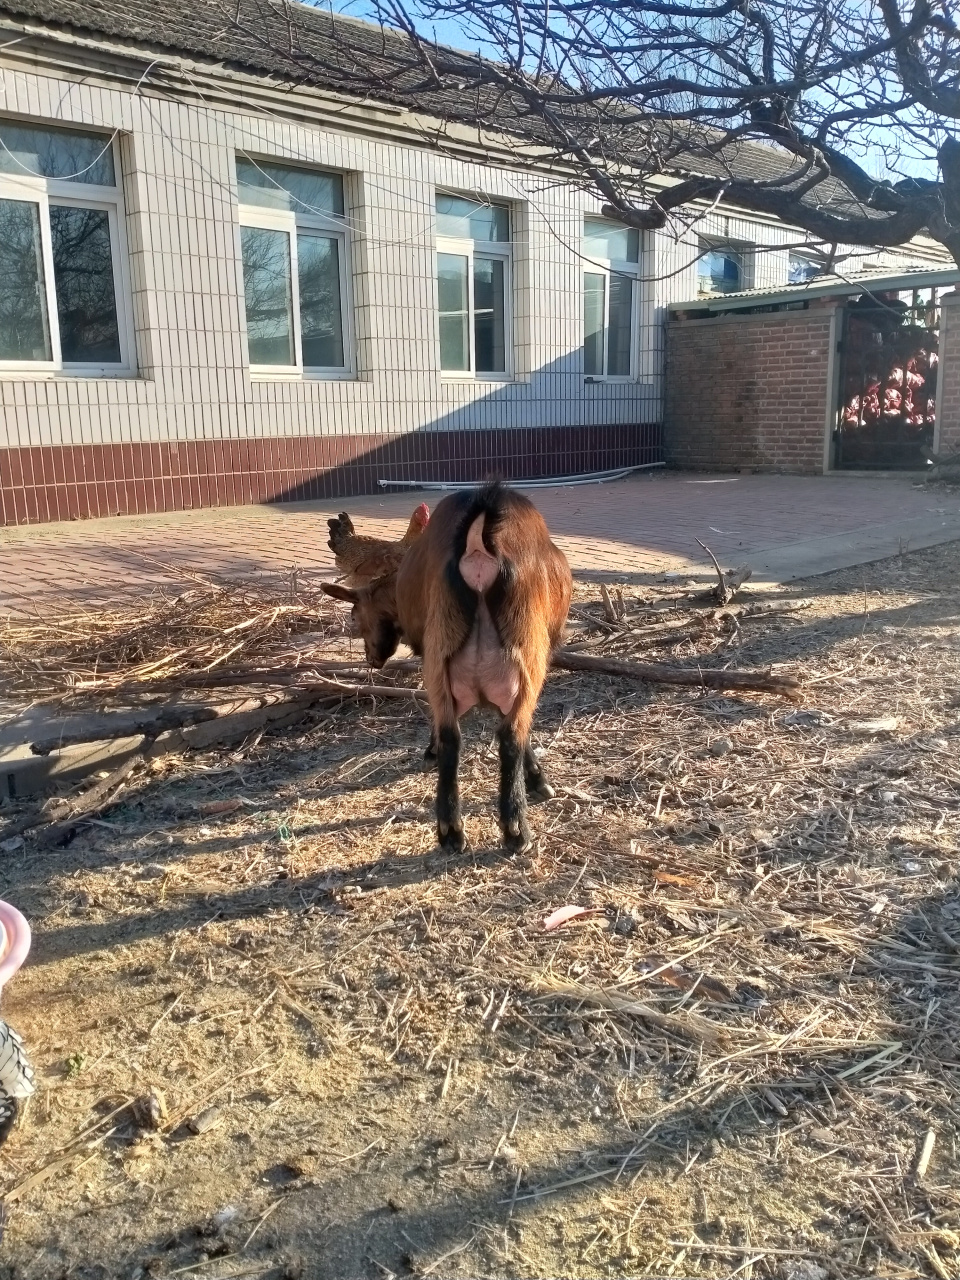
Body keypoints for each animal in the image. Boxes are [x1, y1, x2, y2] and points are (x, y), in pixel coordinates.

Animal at [327, 481, 576, 849]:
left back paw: (453, 829)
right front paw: (536, 778)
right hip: (522, 651)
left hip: (448, 652)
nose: (370, 659)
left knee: (454, 735)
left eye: (356, 616)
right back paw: (511, 828)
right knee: (507, 734)